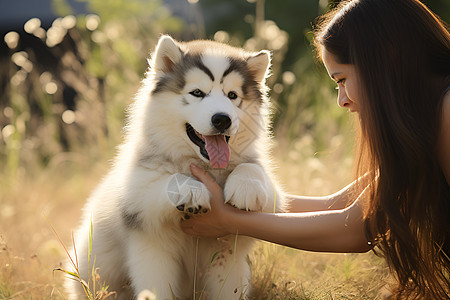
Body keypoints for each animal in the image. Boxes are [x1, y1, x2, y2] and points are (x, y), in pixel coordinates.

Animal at [66, 35, 284, 300]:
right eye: (197, 93)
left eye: (232, 95)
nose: (222, 119)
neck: (203, 164)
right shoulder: (141, 211)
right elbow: (169, 179)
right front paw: (190, 190)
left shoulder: (237, 242)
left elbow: (253, 169)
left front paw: (247, 186)